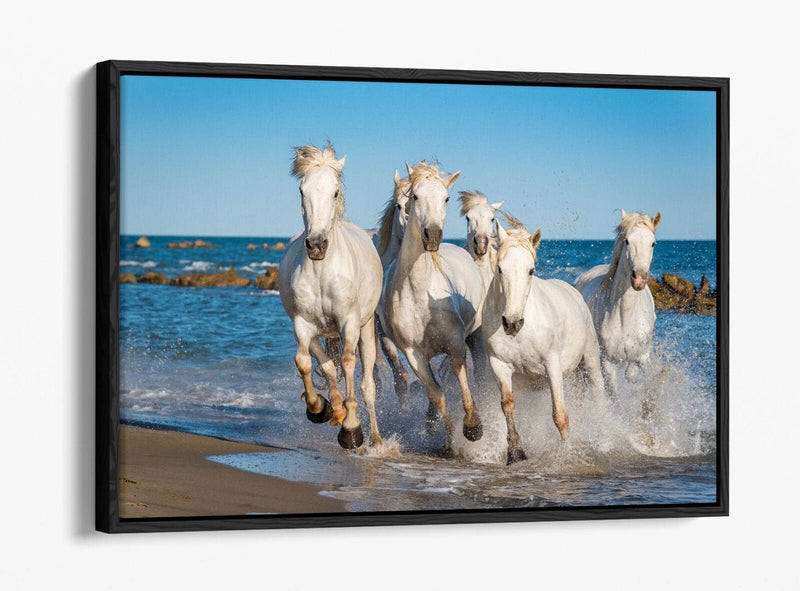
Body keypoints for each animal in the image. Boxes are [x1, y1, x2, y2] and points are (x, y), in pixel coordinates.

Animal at [278, 144, 384, 449]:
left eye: (335, 192)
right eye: (302, 190)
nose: (316, 245)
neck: (322, 271)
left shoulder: (349, 322)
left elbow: (348, 363)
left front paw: (352, 429)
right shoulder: (302, 324)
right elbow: (305, 363)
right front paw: (319, 409)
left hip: (366, 328)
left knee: (367, 384)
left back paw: (376, 439)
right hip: (318, 332)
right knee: (326, 366)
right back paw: (334, 408)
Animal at [379, 161, 486, 448]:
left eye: (446, 198)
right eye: (414, 197)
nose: (433, 236)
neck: (420, 293)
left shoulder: (456, 340)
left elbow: (459, 373)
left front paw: (473, 426)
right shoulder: (414, 354)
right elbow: (437, 394)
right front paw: (449, 438)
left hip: (476, 336)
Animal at [483, 219, 605, 464]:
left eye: (531, 270)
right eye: (500, 268)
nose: (512, 323)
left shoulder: (552, 365)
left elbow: (560, 415)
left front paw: (567, 454)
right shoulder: (499, 365)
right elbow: (508, 404)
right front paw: (515, 453)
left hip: (590, 361)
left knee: (599, 394)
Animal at [574, 210, 661, 398]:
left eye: (653, 243)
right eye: (627, 241)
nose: (639, 278)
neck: (625, 316)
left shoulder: (643, 357)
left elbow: (638, 376)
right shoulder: (608, 363)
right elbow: (614, 395)